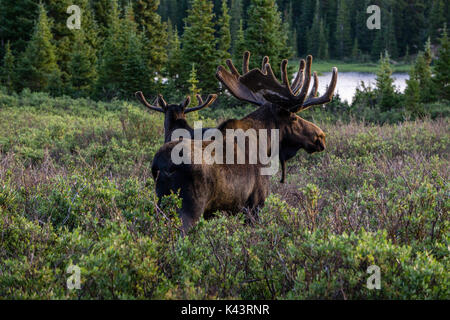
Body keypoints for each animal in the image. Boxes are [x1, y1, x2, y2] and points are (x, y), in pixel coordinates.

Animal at [151, 52, 338, 232]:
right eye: (293, 117)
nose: (320, 136)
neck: (265, 144)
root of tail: (162, 165)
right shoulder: (255, 204)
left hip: (161, 205)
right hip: (190, 208)